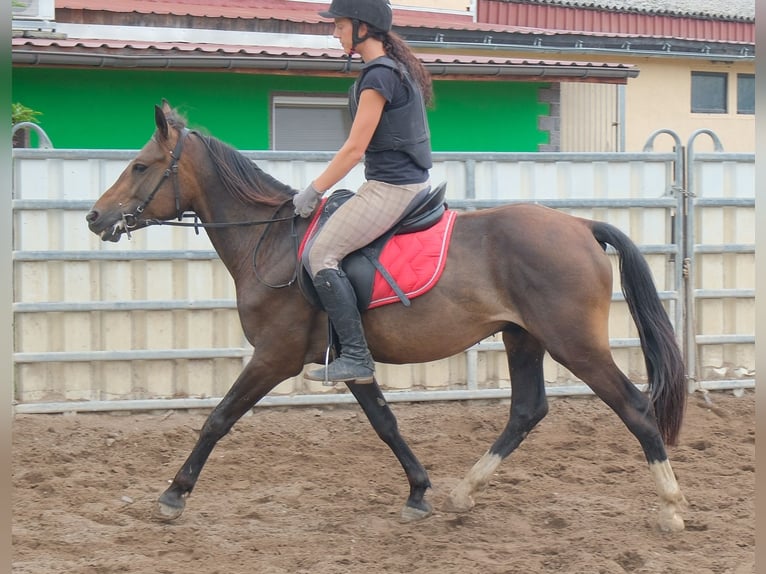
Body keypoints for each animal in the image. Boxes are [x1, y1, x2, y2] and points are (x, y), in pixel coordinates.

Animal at [86, 101, 688, 532]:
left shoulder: (274, 357)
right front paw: (419, 492)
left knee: (634, 406)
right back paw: (464, 492)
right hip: (523, 338)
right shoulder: (350, 360)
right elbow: (385, 423)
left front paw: (173, 494)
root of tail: (582, 226)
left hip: (573, 343)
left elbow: (218, 418)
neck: (271, 242)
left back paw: (671, 506)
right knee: (526, 411)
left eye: (140, 166)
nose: (95, 217)